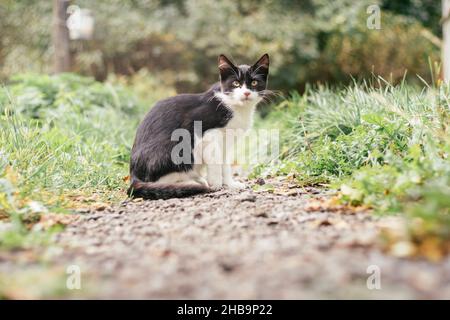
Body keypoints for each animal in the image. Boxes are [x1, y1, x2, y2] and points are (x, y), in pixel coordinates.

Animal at [126, 53, 268, 199]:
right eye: (236, 83)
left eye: (254, 82)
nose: (246, 93)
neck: (234, 106)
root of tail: (133, 174)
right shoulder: (204, 132)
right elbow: (216, 162)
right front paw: (216, 185)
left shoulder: (225, 143)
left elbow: (225, 164)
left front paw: (230, 184)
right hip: (178, 147)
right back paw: (191, 183)